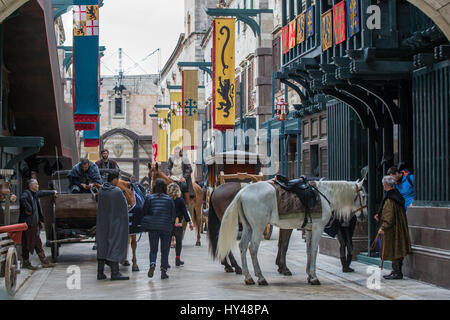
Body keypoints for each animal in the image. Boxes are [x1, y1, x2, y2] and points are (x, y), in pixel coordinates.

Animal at [216, 179, 368, 286]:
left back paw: (248, 277)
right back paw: (260, 277)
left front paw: (309, 275)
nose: (364, 216)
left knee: (242, 246)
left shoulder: (309, 229)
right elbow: (314, 250)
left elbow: (308, 251)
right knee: (252, 248)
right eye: (364, 195)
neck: (325, 196)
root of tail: (242, 192)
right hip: (258, 227)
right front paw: (314, 277)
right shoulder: (318, 228)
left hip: (249, 227)